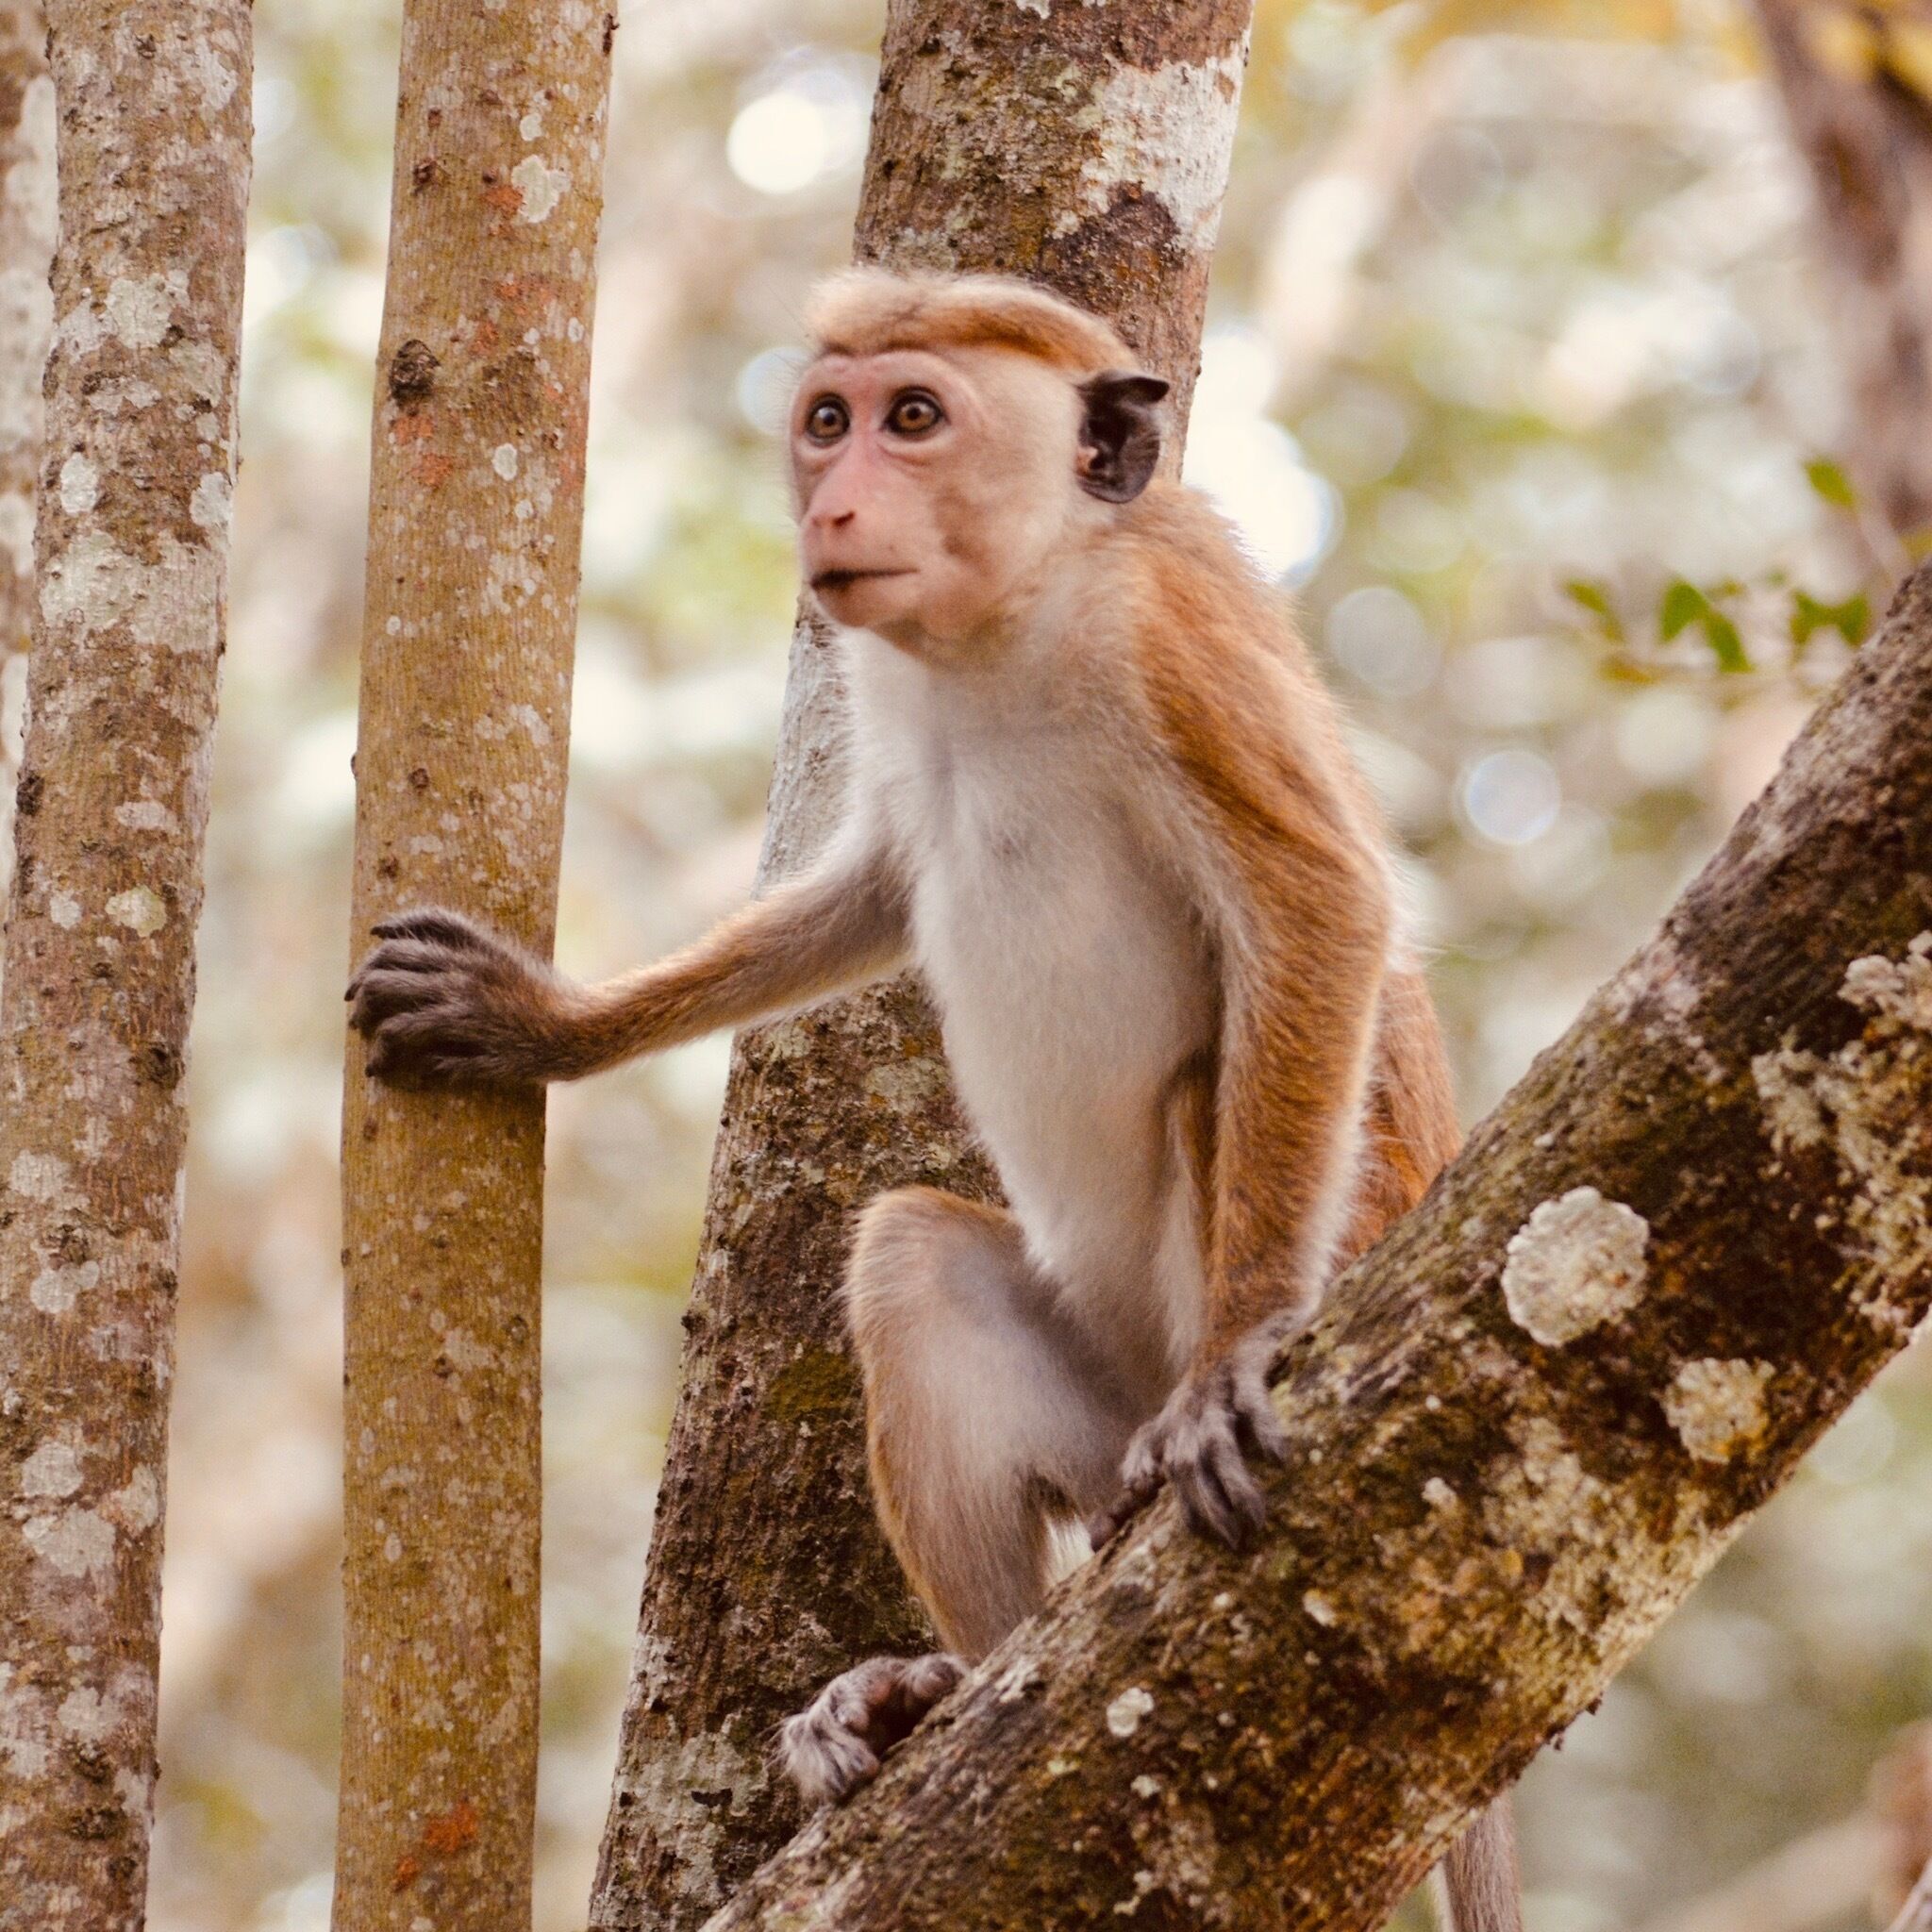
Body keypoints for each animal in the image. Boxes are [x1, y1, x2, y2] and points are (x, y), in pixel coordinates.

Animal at [346, 270, 1522, 1932]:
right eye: (827, 419)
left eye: (915, 418)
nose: (835, 500)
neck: (1003, 628)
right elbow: (878, 891)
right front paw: (540, 1024)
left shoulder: (1173, 647)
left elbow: (1321, 905)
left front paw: (1247, 1347)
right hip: (1094, 1402)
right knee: (912, 1259)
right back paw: (944, 1693)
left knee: (1210, 1082)